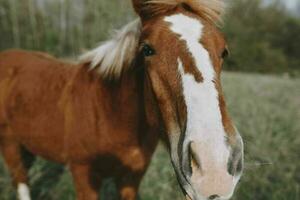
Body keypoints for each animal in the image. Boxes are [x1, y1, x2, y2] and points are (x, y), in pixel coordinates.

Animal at [0, 0, 244, 200]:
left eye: (224, 51)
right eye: (147, 49)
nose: (214, 168)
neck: (109, 112)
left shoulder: (131, 178)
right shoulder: (84, 175)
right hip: (10, 145)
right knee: (21, 183)